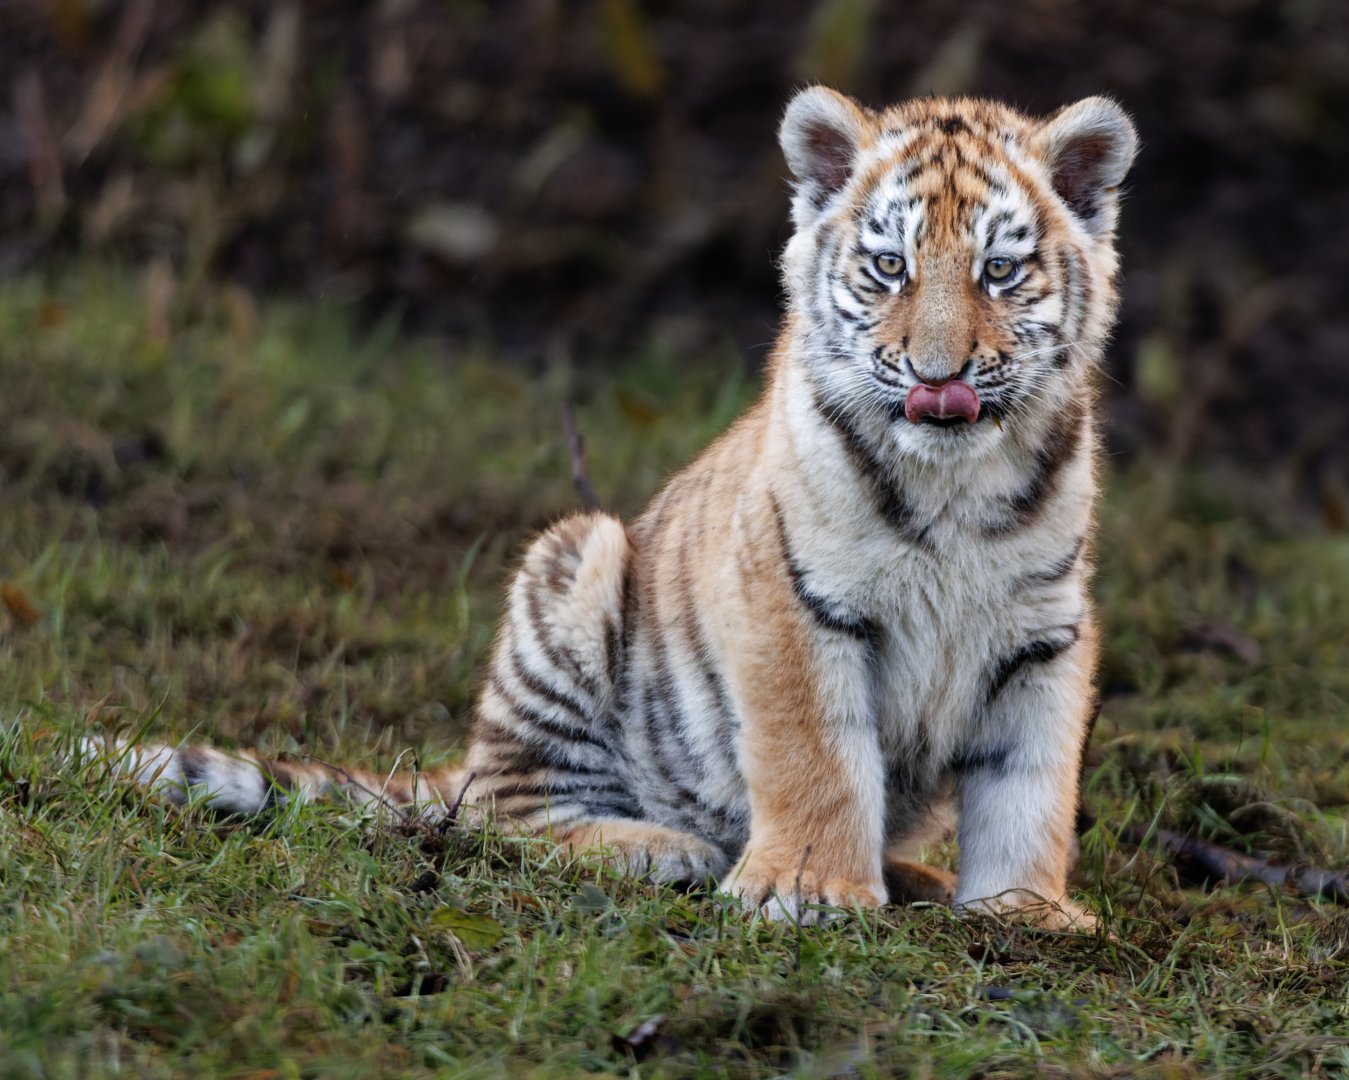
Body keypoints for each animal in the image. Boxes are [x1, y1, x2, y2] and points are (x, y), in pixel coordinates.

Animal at [82, 87, 1137, 929]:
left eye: (999, 271)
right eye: (889, 268)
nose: (936, 376)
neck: (950, 483)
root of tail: (461, 762)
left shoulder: (1047, 628)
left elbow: (1030, 782)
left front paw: (1024, 910)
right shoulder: (788, 601)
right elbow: (817, 755)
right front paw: (807, 889)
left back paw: (913, 875)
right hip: (573, 566)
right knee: (505, 814)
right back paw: (656, 847)